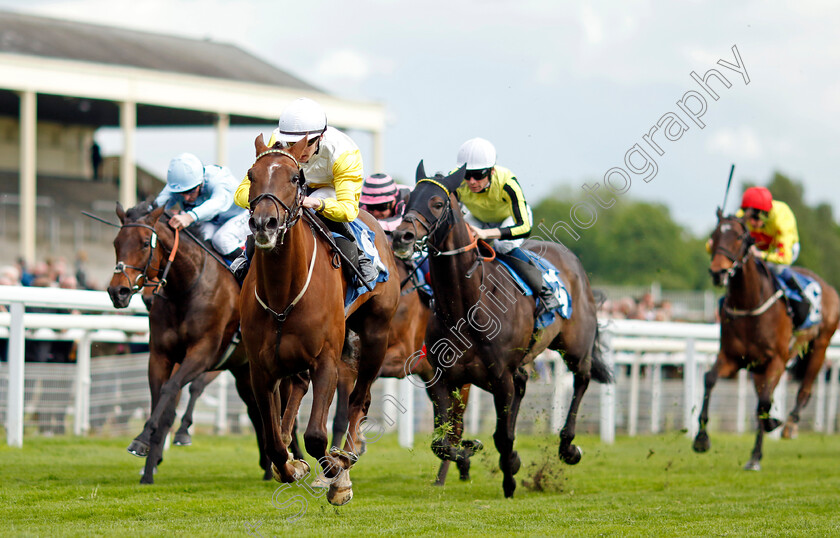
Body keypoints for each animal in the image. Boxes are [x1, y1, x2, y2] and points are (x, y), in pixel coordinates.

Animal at [108, 200, 276, 482]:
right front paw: (148, 466)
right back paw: (268, 465)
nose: (117, 291)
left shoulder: (202, 353)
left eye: (143, 243)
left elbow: (171, 389)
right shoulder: (161, 355)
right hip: (244, 370)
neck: (186, 288)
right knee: (256, 409)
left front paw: (143, 440)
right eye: (116, 243)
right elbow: (160, 398)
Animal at [240, 134, 400, 502]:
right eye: (252, 175)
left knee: (360, 399)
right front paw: (291, 466)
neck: (283, 293)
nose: (264, 224)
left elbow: (316, 436)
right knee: (297, 389)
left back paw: (349, 455)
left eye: (295, 178)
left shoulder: (327, 359)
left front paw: (337, 478)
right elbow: (272, 442)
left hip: (376, 335)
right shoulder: (261, 368)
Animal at [390, 161, 612, 496]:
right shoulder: (444, 377)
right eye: (408, 202)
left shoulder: (500, 376)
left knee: (582, 379)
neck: (466, 308)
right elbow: (443, 440)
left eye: (438, 203)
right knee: (525, 384)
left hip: (574, 346)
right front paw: (470, 451)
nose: (401, 236)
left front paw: (510, 475)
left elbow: (501, 436)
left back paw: (569, 447)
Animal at [692, 209, 836, 468]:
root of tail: (828, 287)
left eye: (739, 238)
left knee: (803, 390)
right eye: (714, 236)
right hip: (758, 369)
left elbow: (765, 402)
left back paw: (789, 426)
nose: (718, 272)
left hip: (819, 346)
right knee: (763, 398)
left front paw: (759, 449)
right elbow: (710, 379)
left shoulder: (777, 360)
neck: (749, 304)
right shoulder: (732, 357)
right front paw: (701, 438)